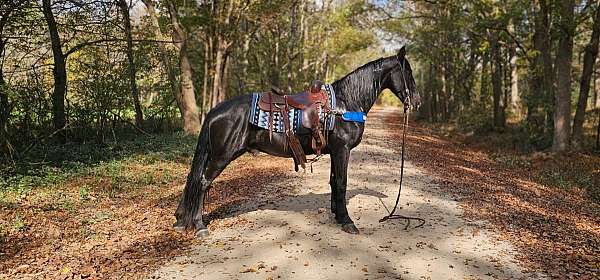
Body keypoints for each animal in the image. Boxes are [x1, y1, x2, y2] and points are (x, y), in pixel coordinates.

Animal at [171, 46, 420, 236]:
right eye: (407, 72)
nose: (416, 101)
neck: (345, 103)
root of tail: (215, 110)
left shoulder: (334, 151)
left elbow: (333, 182)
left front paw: (336, 215)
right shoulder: (343, 150)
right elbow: (341, 183)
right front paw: (347, 222)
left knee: (197, 181)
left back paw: (183, 220)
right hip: (222, 155)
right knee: (203, 182)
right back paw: (200, 225)